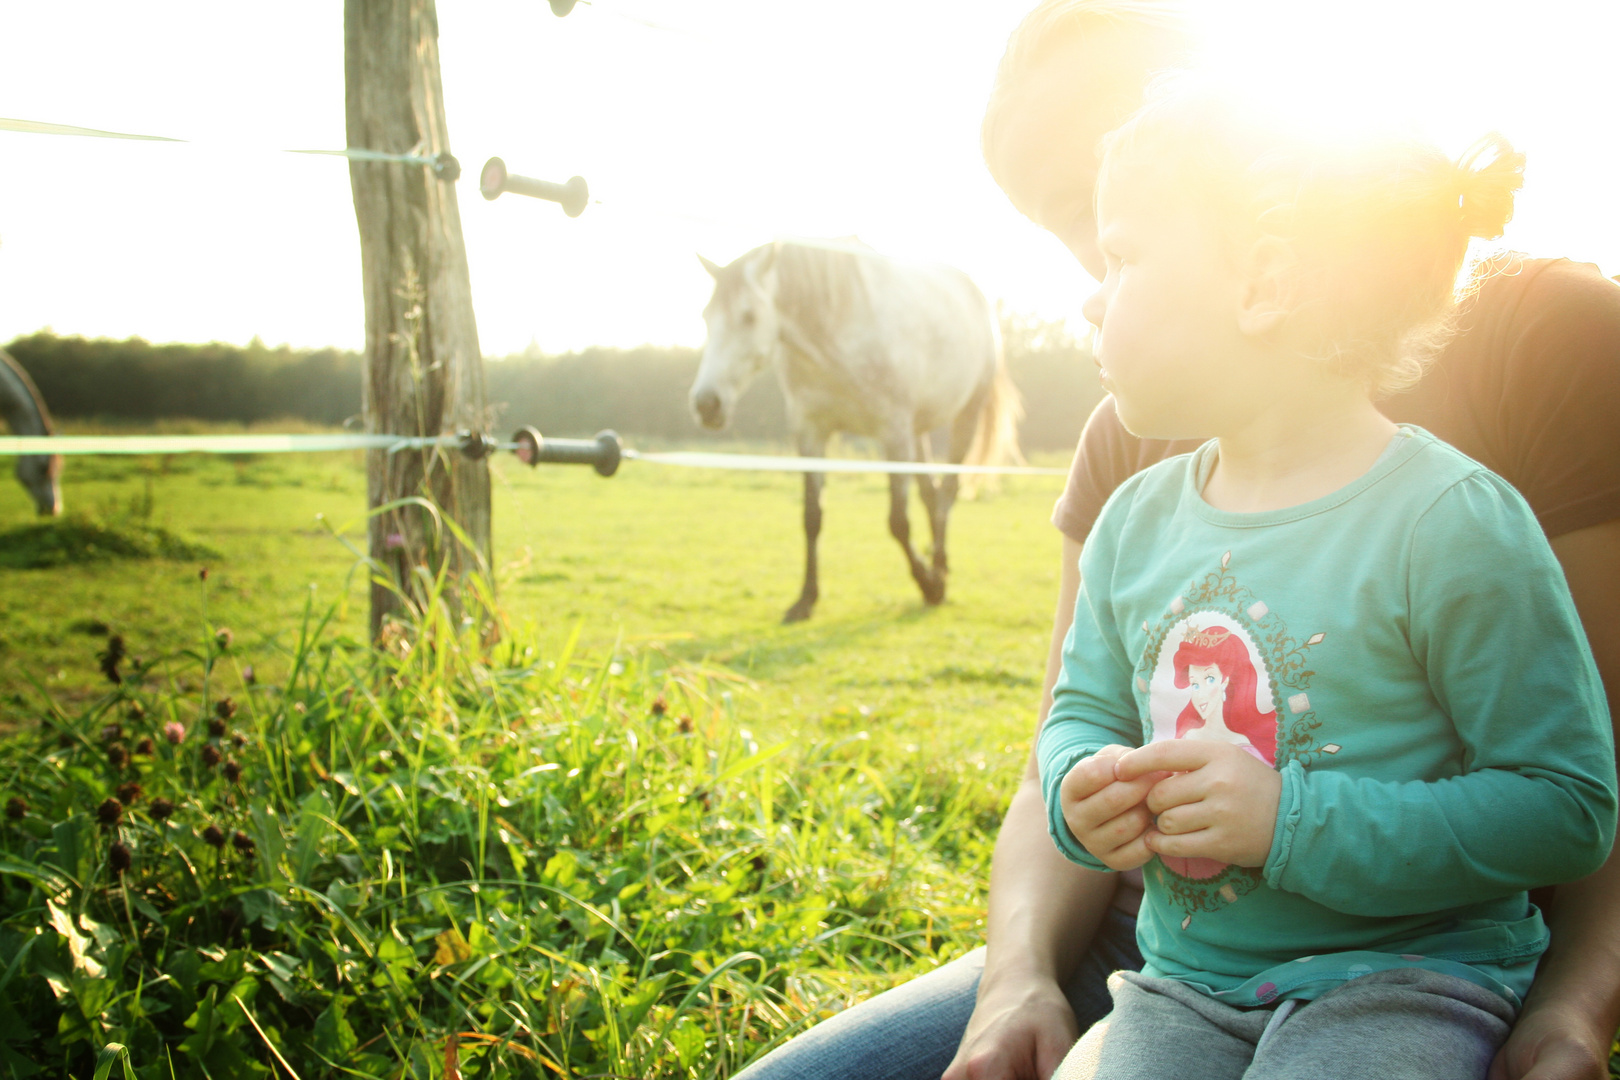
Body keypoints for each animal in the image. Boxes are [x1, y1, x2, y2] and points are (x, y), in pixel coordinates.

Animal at [690, 239, 1017, 621]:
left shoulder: (893, 434)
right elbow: (812, 517)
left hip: (964, 417)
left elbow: (897, 522)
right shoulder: (811, 433)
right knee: (932, 494)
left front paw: (929, 584)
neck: (834, 331)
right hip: (917, 430)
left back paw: (938, 571)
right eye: (705, 317)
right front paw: (806, 599)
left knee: (946, 494)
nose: (706, 404)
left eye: (749, 316)